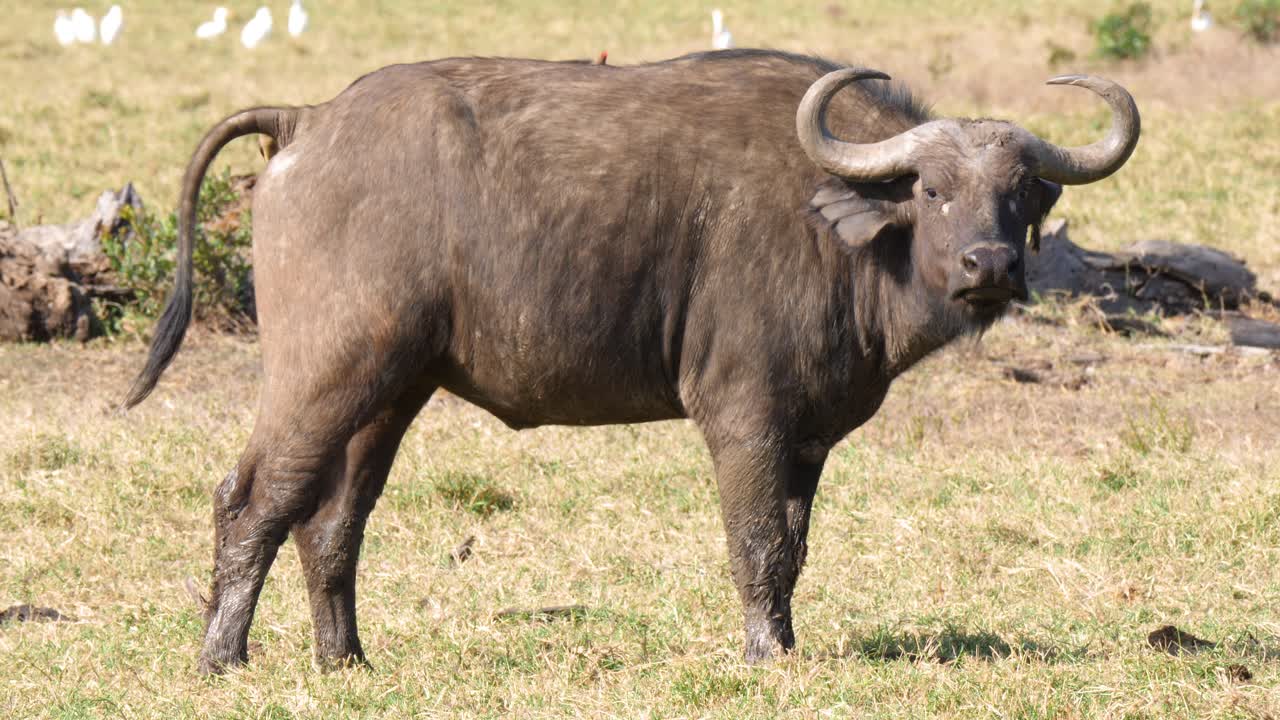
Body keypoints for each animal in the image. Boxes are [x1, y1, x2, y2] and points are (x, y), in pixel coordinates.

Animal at [124, 49, 1139, 673]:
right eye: (930, 189)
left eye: (1019, 193)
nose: (990, 267)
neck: (840, 235)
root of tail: (310, 121)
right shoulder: (744, 416)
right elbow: (757, 542)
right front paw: (766, 655)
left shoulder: (808, 437)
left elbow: (795, 546)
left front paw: (788, 642)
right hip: (325, 373)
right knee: (252, 497)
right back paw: (223, 658)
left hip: (391, 390)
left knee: (332, 520)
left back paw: (346, 660)